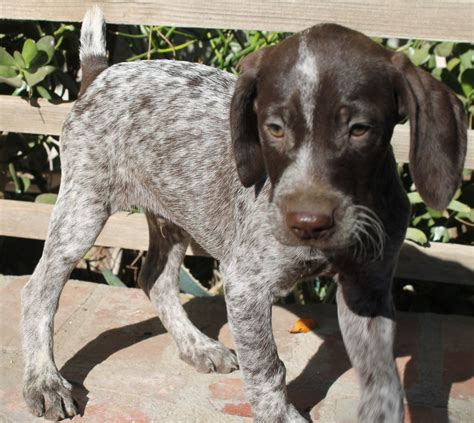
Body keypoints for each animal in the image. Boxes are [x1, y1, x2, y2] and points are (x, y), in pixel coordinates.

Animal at [22, 4, 466, 422]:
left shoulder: (368, 287)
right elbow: (267, 367)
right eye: (273, 128)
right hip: (83, 208)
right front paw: (279, 415)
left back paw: (197, 346)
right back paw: (44, 381)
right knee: (38, 292)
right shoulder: (246, 285)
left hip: (175, 211)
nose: (308, 223)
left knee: (156, 281)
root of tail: (101, 74)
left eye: (359, 129)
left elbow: (382, 380)